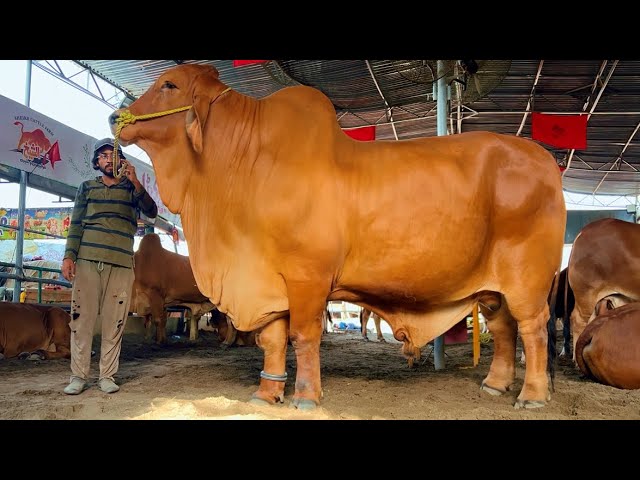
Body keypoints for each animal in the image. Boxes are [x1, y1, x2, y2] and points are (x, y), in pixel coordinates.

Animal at [111, 63, 566, 410]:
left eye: (169, 85)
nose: (117, 118)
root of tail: (542, 159)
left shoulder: (308, 278)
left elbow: (303, 336)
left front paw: (306, 397)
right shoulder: (268, 282)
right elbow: (272, 339)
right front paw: (267, 392)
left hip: (527, 278)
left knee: (533, 329)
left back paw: (532, 394)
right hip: (491, 288)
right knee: (504, 329)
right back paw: (495, 384)